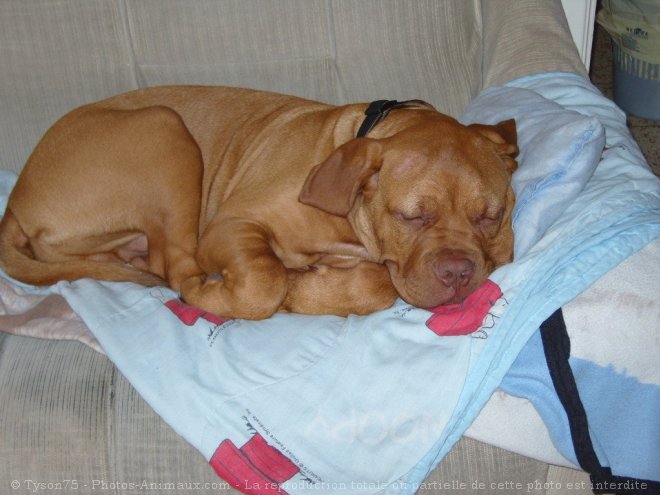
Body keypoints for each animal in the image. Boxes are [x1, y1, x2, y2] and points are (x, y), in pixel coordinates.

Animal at [0, 85, 516, 320]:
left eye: (489, 217)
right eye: (412, 216)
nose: (457, 272)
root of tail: (17, 197)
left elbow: (377, 282)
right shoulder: (232, 225)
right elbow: (265, 281)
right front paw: (288, 287)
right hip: (165, 129)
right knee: (175, 266)